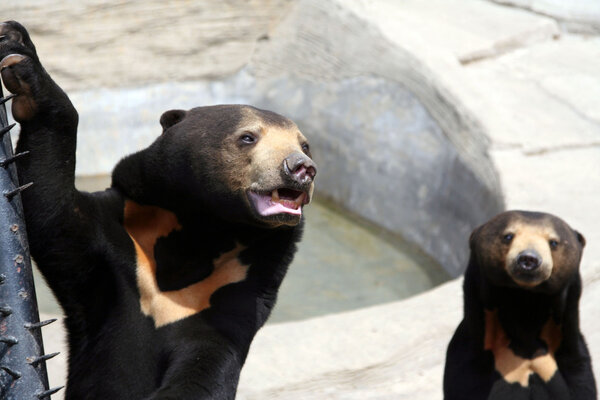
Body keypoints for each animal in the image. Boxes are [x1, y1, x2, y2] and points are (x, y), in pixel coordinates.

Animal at [0, 21, 316, 400]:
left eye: (305, 145)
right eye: (248, 137)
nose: (301, 168)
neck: (203, 230)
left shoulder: (237, 289)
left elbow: (207, 365)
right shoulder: (118, 249)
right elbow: (52, 208)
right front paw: (18, 54)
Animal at [442, 211, 596, 398]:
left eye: (553, 242)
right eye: (508, 236)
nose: (528, 259)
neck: (523, 302)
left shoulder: (573, 359)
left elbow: (580, 383)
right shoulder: (468, 360)